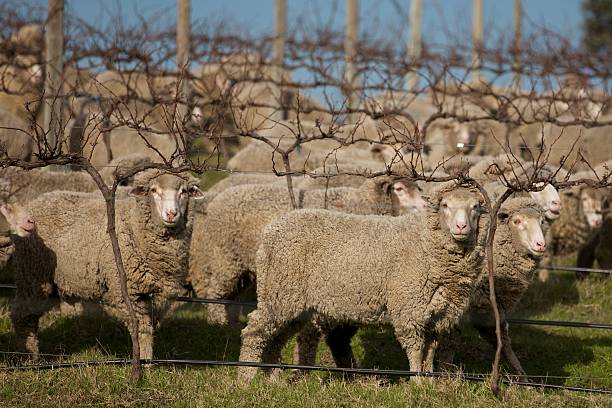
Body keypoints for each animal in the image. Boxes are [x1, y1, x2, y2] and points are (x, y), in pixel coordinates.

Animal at [9, 167, 204, 358]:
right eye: (154, 190)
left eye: (184, 191)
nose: (171, 214)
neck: (134, 226)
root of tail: (38, 201)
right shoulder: (126, 291)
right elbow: (141, 330)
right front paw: (142, 364)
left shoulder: (156, 296)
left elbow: (149, 329)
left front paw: (147, 361)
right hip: (32, 274)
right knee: (22, 314)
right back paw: (29, 355)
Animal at [188, 177, 426, 324]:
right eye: (399, 189)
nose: (426, 205)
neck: (363, 204)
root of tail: (214, 204)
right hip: (226, 257)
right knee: (216, 292)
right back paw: (219, 323)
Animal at [235, 183, 488, 380]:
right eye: (445, 206)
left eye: (475, 207)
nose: (461, 226)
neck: (425, 242)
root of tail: (271, 230)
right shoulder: (409, 309)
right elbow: (416, 352)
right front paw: (417, 384)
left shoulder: (437, 317)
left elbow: (429, 354)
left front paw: (429, 384)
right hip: (278, 292)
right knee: (254, 332)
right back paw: (245, 379)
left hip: (293, 302)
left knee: (275, 337)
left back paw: (274, 379)